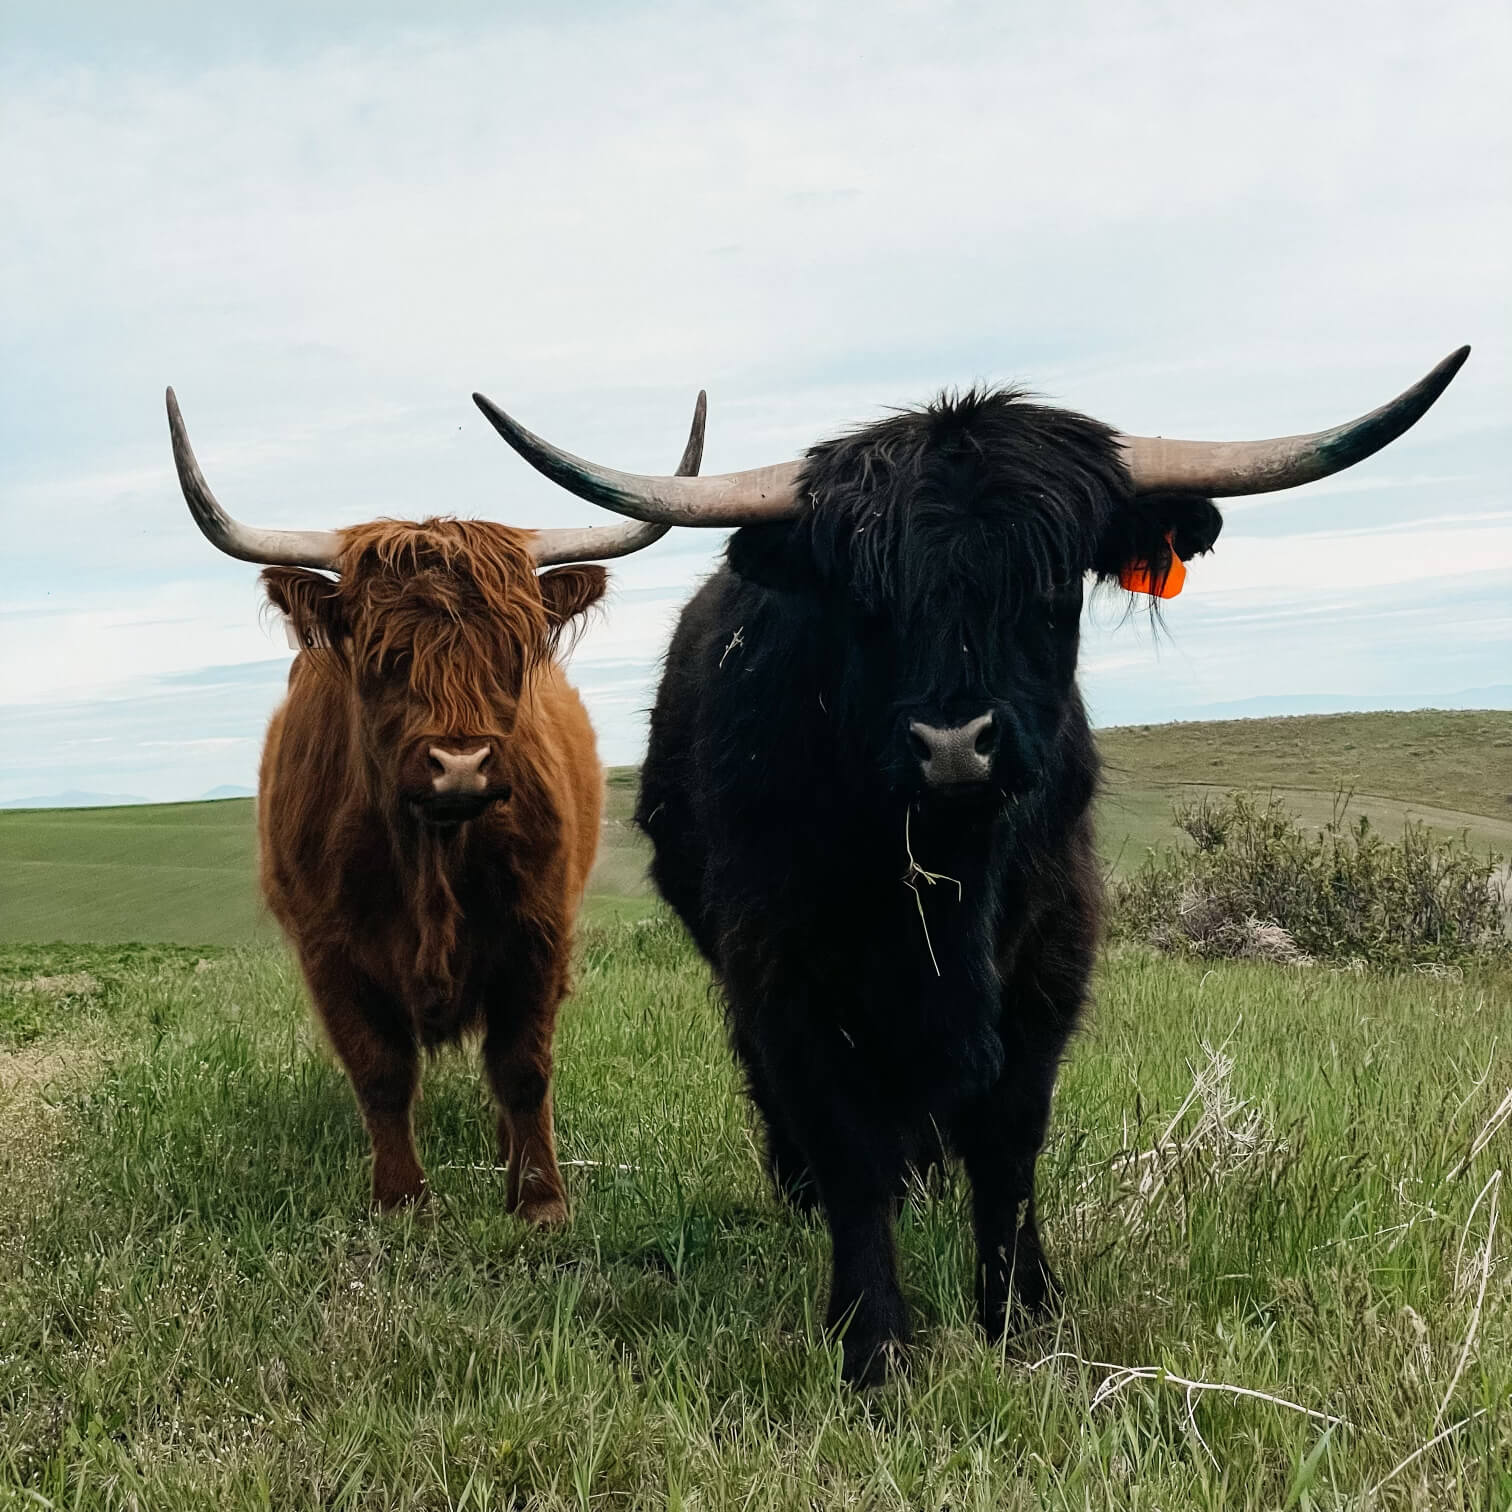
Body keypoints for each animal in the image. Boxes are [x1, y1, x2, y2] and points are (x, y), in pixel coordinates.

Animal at [477, 343, 1469, 1384]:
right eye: (867, 599)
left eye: (1053, 584)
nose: (955, 746)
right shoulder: (784, 968)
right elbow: (846, 1145)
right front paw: (873, 1343)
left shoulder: (1049, 961)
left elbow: (1008, 1144)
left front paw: (1023, 1319)